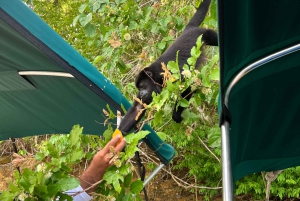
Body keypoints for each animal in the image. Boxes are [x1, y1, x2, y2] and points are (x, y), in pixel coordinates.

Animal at [119, 0, 218, 135]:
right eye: (138, 88)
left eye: (142, 86)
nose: (141, 93)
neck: (155, 77)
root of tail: (189, 29)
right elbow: (138, 108)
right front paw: (117, 134)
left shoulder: (168, 74)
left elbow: (188, 86)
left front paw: (176, 116)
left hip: (202, 34)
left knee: (211, 36)